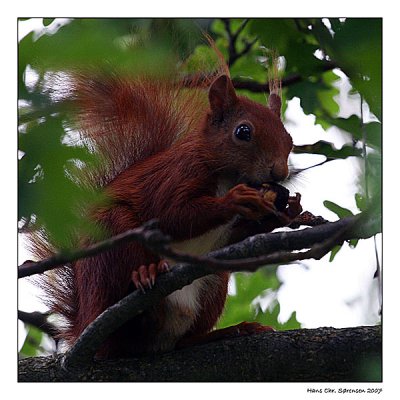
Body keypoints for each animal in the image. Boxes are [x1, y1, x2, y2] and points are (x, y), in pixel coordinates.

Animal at [30, 66, 300, 360]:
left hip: (214, 284)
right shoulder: (178, 175)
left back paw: (229, 331)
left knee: (183, 340)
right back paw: (144, 277)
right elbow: (173, 217)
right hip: (112, 242)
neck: (228, 176)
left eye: (289, 140)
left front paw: (287, 211)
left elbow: (234, 237)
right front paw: (234, 199)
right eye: (243, 132)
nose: (280, 173)